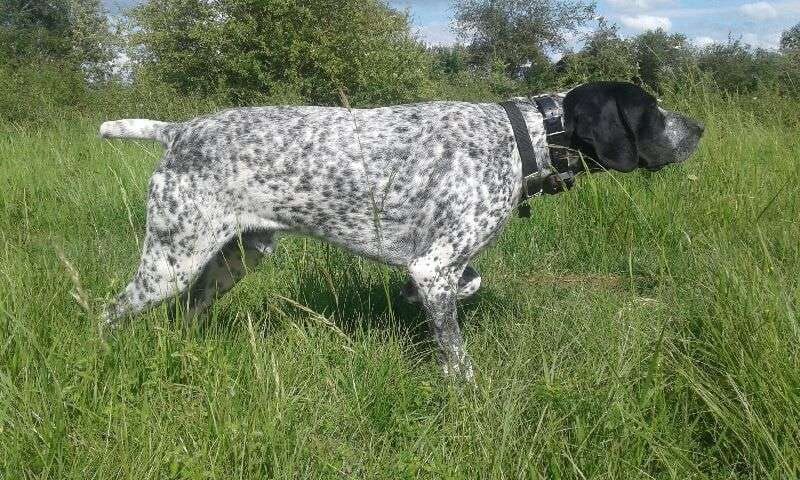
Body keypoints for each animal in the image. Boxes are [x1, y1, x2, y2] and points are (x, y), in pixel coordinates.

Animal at [98, 81, 704, 381]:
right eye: (651, 110)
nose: (698, 128)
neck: (521, 139)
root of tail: (177, 131)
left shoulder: (438, 267)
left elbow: (468, 282)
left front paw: (418, 297)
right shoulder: (433, 265)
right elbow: (456, 357)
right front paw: (466, 396)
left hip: (235, 258)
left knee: (188, 310)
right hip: (172, 261)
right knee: (110, 311)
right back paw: (102, 352)